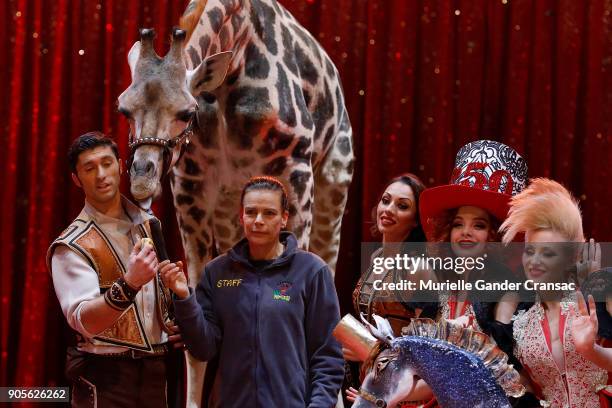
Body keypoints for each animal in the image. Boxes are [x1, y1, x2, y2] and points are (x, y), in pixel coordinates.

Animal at [117, 0, 354, 404]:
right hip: (230, 206)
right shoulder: (191, 186)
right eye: (124, 109)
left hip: (333, 184)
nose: (142, 178)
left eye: (186, 112)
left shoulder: (296, 173)